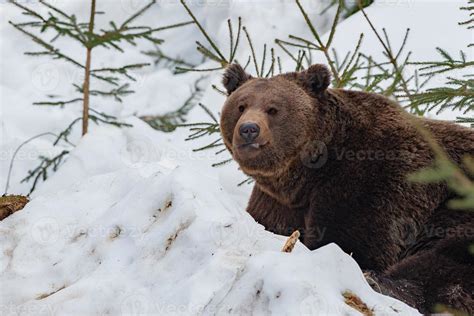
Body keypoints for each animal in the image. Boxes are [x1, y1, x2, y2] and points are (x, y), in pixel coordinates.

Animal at [220, 63, 474, 314]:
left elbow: (351, 241)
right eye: (241, 106)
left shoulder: (369, 183)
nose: (249, 129)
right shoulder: (277, 202)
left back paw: (382, 283)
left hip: (457, 203)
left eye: (273, 109)